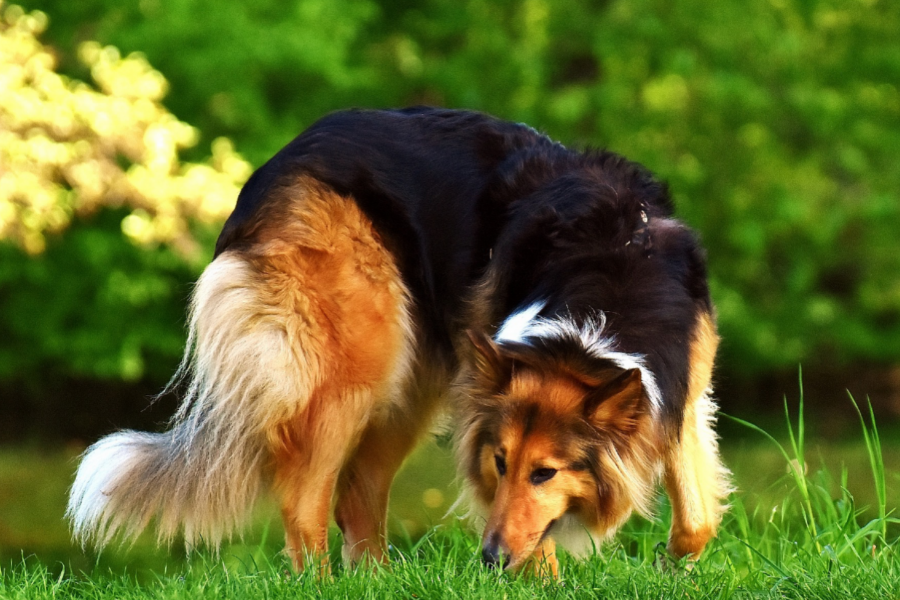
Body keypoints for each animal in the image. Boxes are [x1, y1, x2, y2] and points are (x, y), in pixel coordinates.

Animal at [68, 105, 732, 576]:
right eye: (500, 462)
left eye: (546, 473)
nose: (488, 560)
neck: (608, 271)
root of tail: (270, 170)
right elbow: (533, 540)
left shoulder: (679, 393)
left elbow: (697, 518)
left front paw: (672, 569)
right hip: (357, 362)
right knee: (306, 501)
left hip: (416, 372)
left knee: (357, 492)